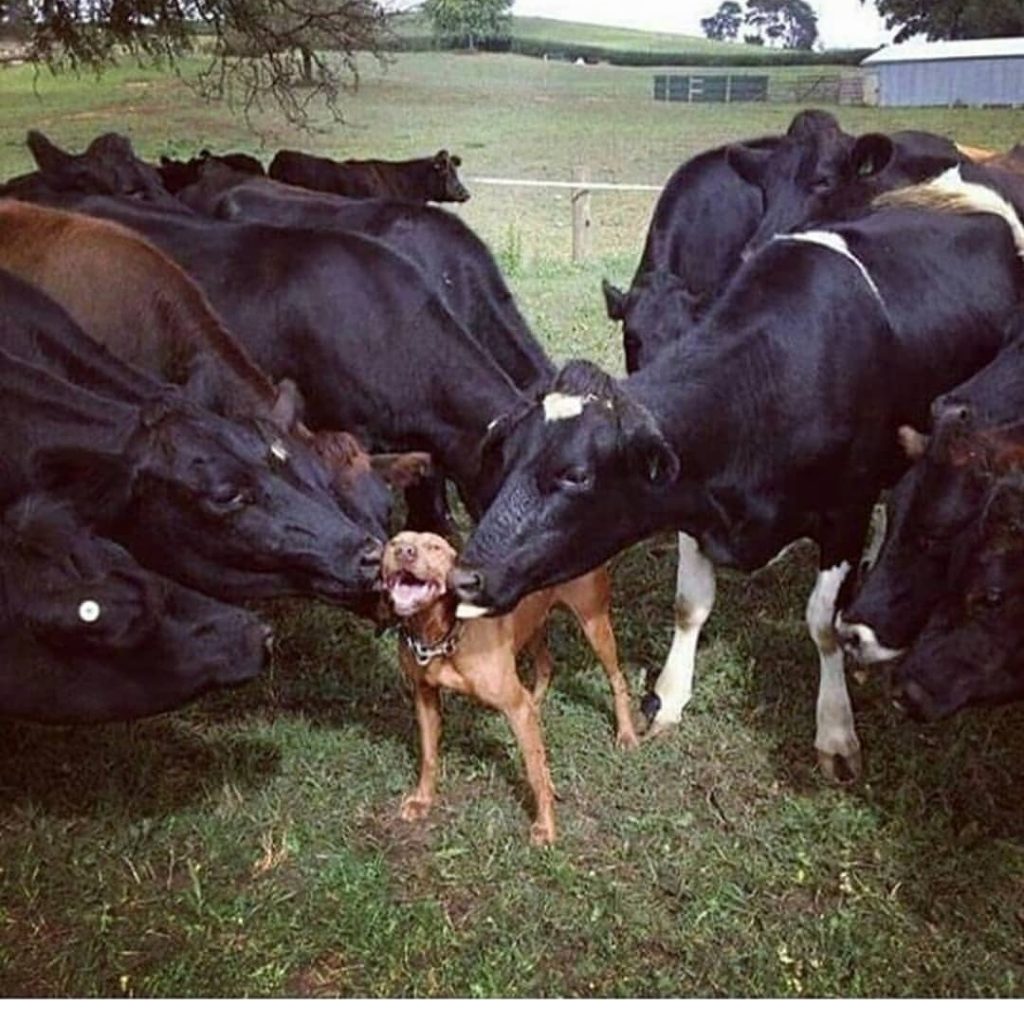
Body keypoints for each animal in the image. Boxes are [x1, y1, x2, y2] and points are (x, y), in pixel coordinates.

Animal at [381, 530, 638, 845]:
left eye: (434, 547)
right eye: (394, 542)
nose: (404, 552)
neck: (440, 635)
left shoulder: (514, 705)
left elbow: (534, 773)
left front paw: (545, 827)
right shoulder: (424, 695)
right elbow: (428, 756)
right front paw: (422, 800)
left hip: (594, 623)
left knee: (617, 679)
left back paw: (626, 734)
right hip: (533, 625)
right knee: (545, 665)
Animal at [451, 184, 1024, 781]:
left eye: (575, 475)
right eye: (508, 457)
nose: (464, 577)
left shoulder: (847, 509)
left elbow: (824, 623)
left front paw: (835, 731)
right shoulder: (692, 503)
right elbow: (690, 603)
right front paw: (669, 697)